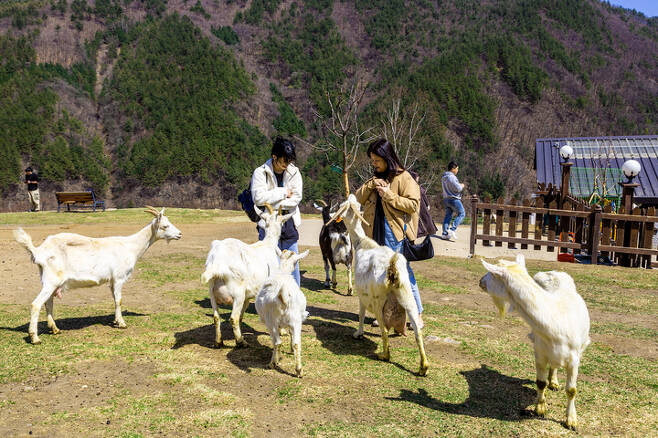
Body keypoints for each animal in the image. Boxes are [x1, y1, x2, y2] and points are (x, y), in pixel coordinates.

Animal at [13, 207, 182, 344]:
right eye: (165, 226)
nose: (180, 234)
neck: (130, 247)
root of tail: (38, 251)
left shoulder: (112, 280)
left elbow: (115, 299)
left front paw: (116, 320)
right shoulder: (119, 277)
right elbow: (119, 300)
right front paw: (122, 323)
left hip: (50, 281)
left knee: (48, 302)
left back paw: (55, 329)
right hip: (52, 280)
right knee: (36, 304)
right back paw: (35, 338)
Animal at [200, 204, 292, 348]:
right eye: (283, 221)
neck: (268, 244)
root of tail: (218, 263)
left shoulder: (248, 294)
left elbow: (243, 314)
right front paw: (282, 330)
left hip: (212, 293)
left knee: (217, 317)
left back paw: (218, 341)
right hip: (237, 293)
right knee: (233, 318)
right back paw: (241, 342)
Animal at [326, 195, 428, 376]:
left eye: (343, 205)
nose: (350, 195)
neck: (362, 243)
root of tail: (392, 269)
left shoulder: (362, 294)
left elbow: (360, 313)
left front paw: (358, 333)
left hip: (378, 300)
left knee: (384, 330)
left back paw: (384, 355)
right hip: (407, 294)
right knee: (417, 328)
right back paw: (423, 366)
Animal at [476, 255, 588, 430]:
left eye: (492, 273)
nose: (480, 281)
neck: (556, 320)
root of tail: (552, 272)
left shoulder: (574, 358)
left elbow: (571, 390)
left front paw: (571, 420)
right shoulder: (539, 351)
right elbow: (540, 382)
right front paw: (540, 408)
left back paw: (554, 383)